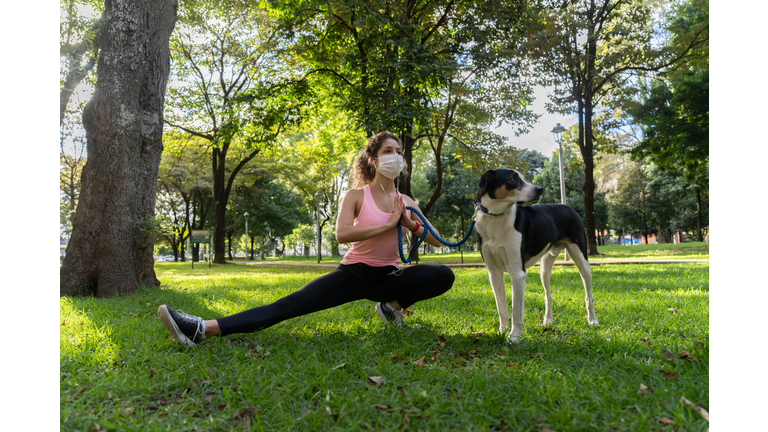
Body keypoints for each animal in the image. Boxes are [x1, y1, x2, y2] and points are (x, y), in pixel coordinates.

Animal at [474, 167, 600, 342]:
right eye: (513, 179)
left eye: (522, 177)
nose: (540, 189)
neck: (496, 219)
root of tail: (567, 207)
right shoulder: (494, 273)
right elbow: (502, 308)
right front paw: (502, 331)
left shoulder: (517, 273)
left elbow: (516, 311)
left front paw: (514, 337)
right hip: (545, 268)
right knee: (548, 295)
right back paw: (548, 320)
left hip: (582, 261)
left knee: (589, 295)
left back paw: (593, 320)